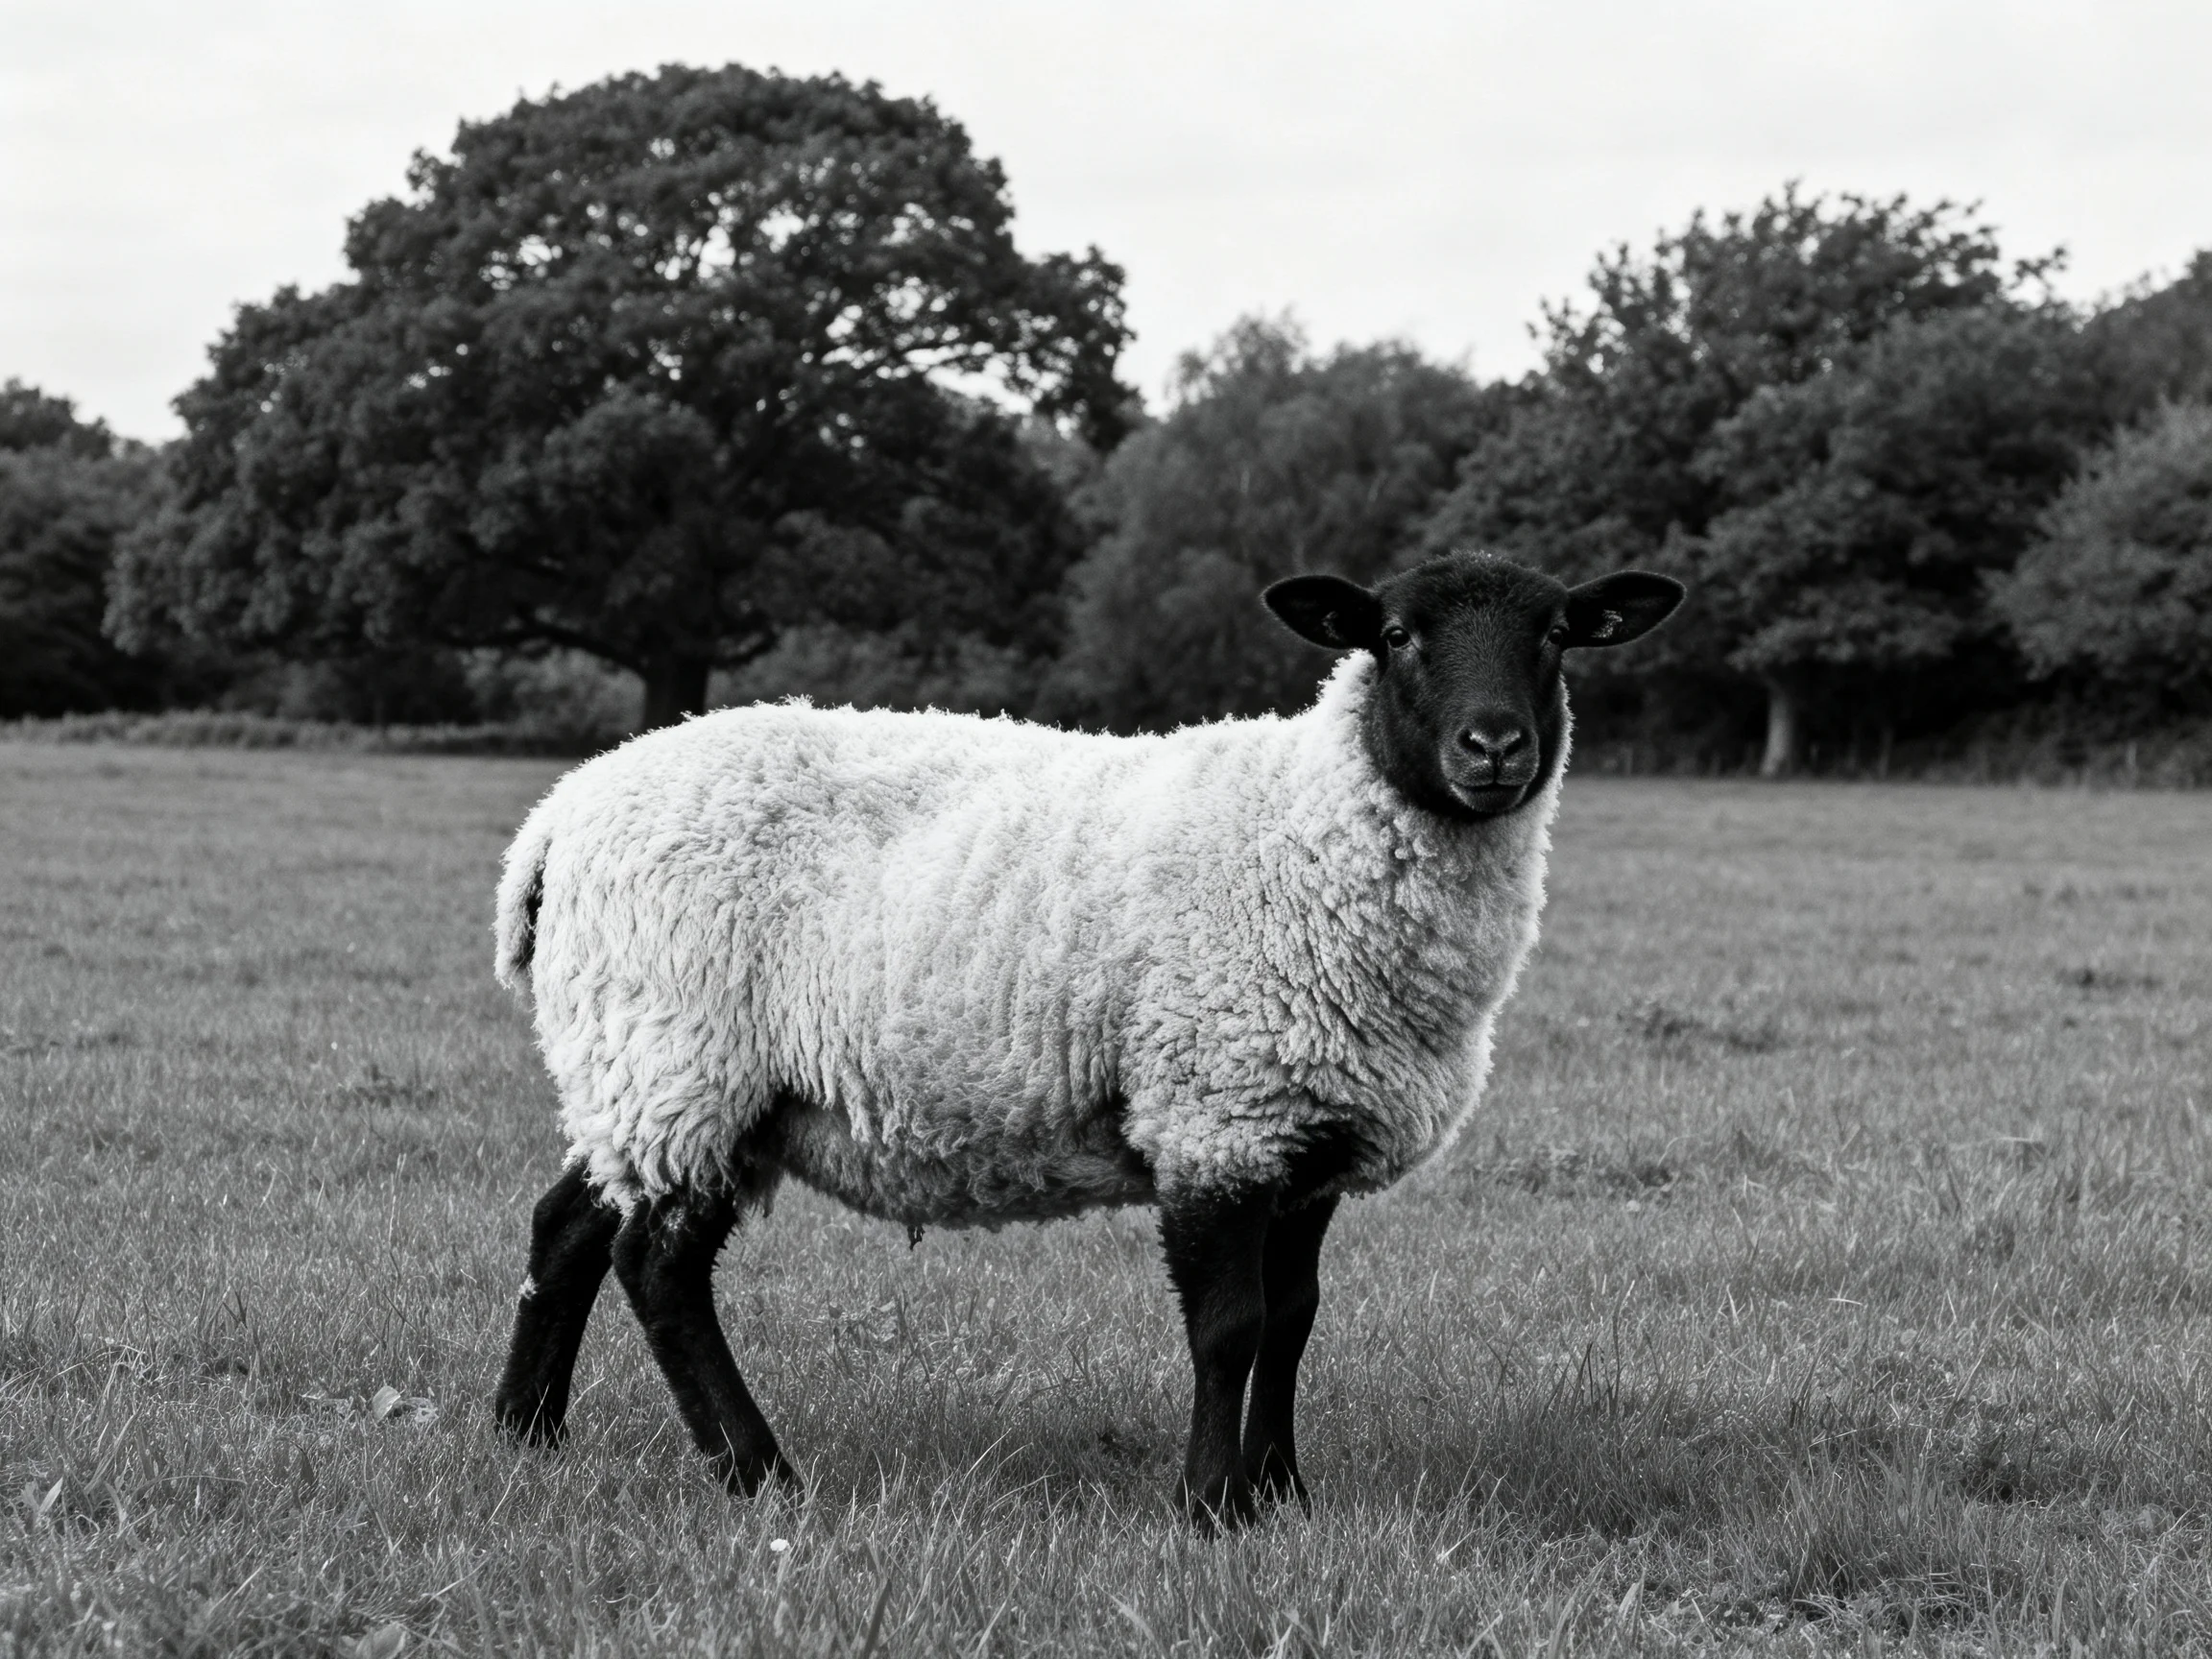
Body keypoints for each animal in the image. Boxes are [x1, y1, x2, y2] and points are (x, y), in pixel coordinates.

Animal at [490, 549, 1684, 1526]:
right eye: (1394, 635)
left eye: (1557, 633)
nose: (1495, 747)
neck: (1308, 828)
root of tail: (555, 820)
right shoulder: (1216, 1113)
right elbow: (1231, 1326)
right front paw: (1213, 1506)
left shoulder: (1311, 1132)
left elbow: (1296, 1321)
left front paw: (1286, 1493)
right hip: (683, 1052)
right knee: (657, 1266)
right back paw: (756, 1472)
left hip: (639, 1071)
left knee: (570, 1226)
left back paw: (526, 1433)